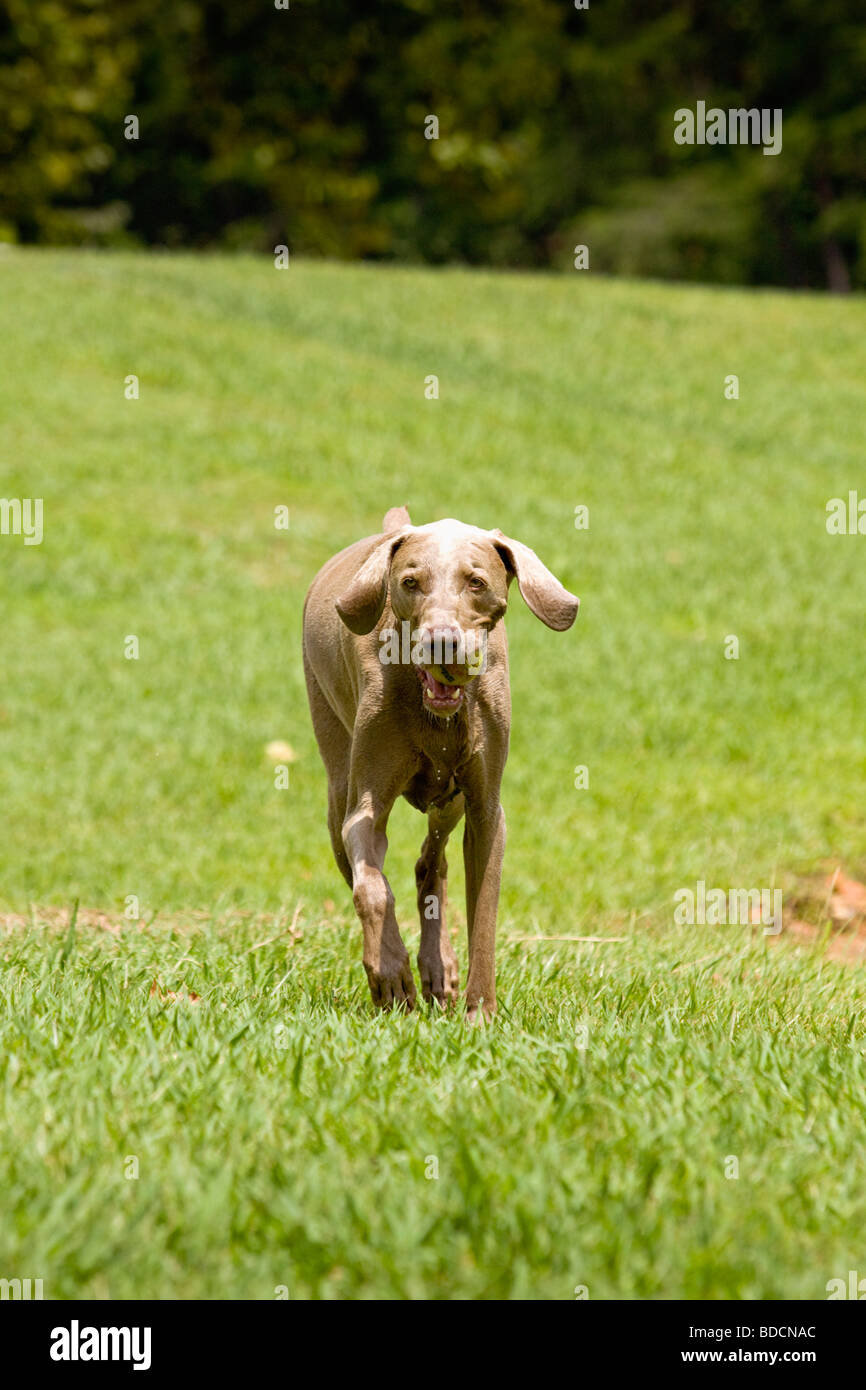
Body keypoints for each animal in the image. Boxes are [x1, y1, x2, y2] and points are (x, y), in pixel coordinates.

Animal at [301, 505, 578, 1017]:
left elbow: (483, 915)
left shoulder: (486, 809)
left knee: (431, 863)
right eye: (410, 582)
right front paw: (390, 974)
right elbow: (372, 889)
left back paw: (439, 968)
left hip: (450, 799)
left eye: (476, 581)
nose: (442, 644)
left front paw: (479, 1012)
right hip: (335, 778)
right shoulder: (364, 808)